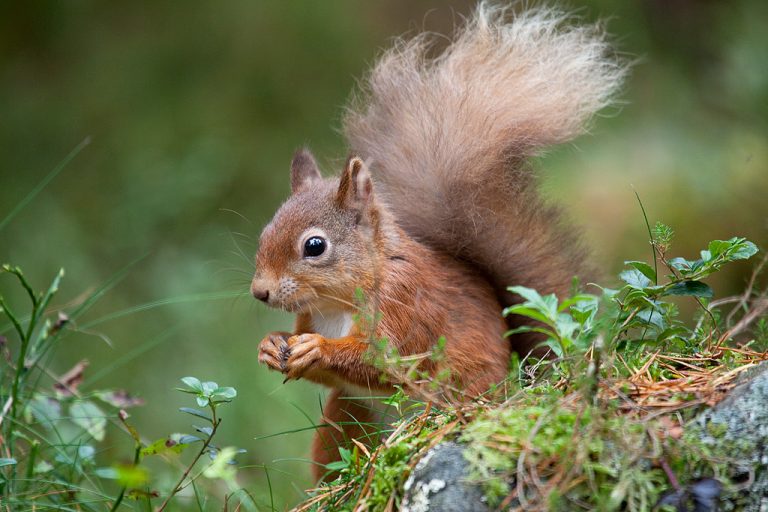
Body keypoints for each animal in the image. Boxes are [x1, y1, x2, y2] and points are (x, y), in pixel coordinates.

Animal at [251, 3, 624, 481]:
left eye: (314, 247)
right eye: (265, 233)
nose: (260, 292)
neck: (339, 304)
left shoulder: (407, 308)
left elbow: (382, 361)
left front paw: (318, 349)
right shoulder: (313, 317)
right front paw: (270, 344)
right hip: (345, 418)